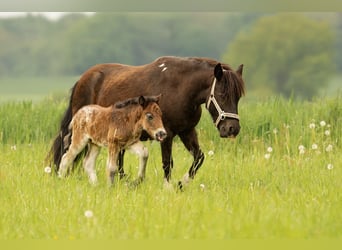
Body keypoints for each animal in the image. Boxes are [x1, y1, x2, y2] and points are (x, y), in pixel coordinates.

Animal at [49, 56, 244, 188]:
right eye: (222, 94)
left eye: (238, 97)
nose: (232, 128)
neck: (180, 88)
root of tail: (82, 79)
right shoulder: (167, 134)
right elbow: (168, 163)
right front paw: (168, 188)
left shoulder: (187, 131)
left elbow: (199, 158)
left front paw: (182, 184)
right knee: (67, 151)